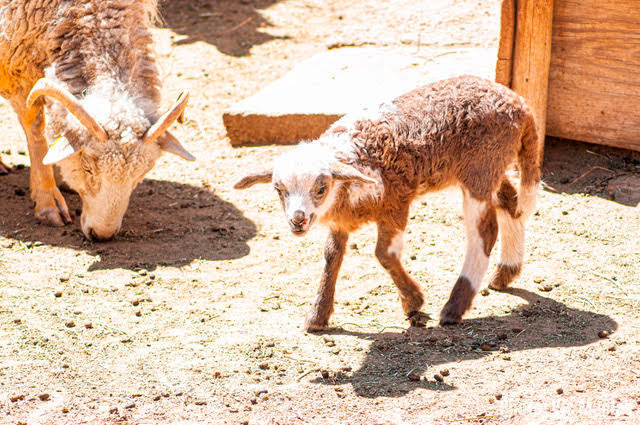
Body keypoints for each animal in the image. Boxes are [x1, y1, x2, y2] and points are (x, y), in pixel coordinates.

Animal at [0, 0, 195, 240]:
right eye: (86, 166)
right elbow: (34, 126)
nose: (102, 235)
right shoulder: (16, 60)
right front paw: (47, 199)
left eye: (142, 172)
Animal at [235, 75, 540, 328]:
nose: (297, 219)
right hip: (490, 167)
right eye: (278, 189)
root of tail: (521, 105)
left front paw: (413, 301)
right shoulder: (341, 220)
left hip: (481, 166)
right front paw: (318, 315)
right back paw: (506, 273)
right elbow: (332, 255)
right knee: (511, 203)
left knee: (485, 231)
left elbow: (384, 254)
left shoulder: (396, 202)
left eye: (321, 188)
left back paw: (454, 308)